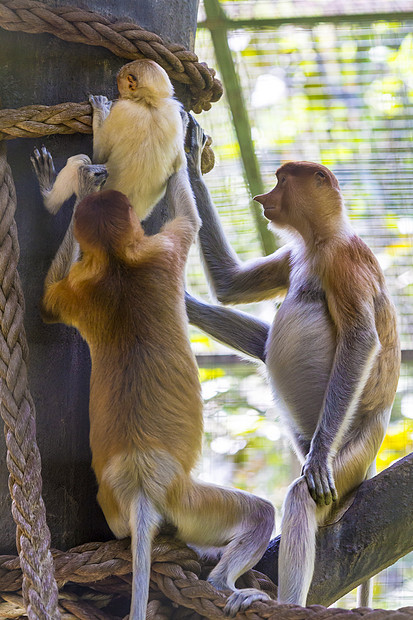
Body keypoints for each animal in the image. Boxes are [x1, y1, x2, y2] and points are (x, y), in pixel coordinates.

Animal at [34, 139, 274, 616]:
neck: (116, 259)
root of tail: (142, 489)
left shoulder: (79, 291)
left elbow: (48, 302)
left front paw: (79, 188)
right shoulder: (166, 247)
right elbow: (189, 220)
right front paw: (184, 148)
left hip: (116, 508)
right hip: (190, 501)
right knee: (259, 513)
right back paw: (224, 584)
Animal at [90, 56, 187, 220]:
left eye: (119, 85)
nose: (118, 95)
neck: (149, 103)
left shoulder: (122, 110)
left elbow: (98, 155)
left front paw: (100, 107)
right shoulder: (173, 112)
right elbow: (180, 164)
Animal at [183, 120, 400, 604]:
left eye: (282, 181)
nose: (263, 198)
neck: (320, 239)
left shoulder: (345, 261)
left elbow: (361, 340)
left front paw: (317, 462)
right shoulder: (293, 254)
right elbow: (230, 286)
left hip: (357, 444)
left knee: (304, 496)